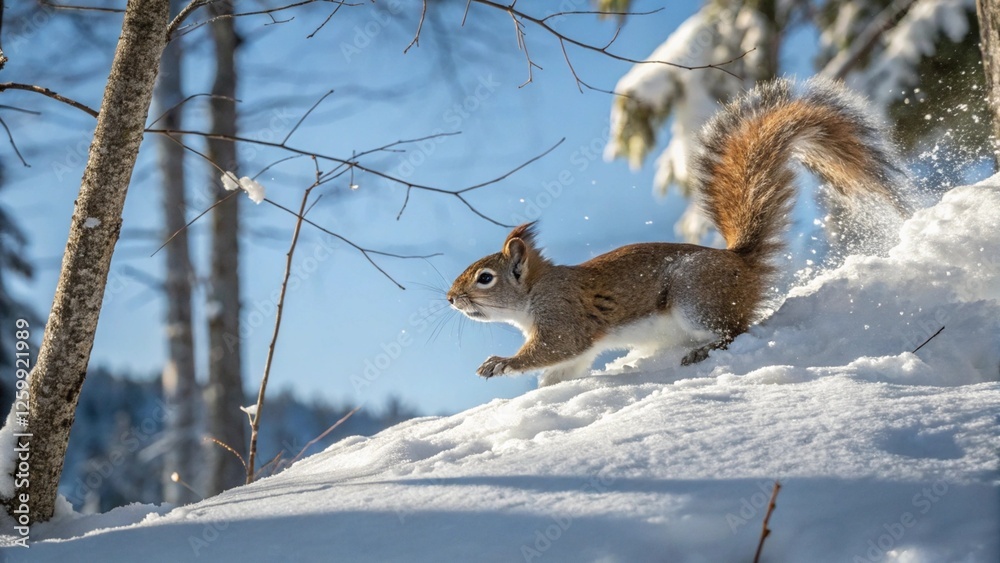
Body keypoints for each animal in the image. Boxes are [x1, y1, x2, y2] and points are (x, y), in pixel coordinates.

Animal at [447, 77, 912, 387]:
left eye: (485, 278)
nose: (450, 298)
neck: (531, 296)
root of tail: (741, 262)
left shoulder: (563, 316)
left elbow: (553, 348)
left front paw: (500, 363)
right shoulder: (578, 348)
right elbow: (566, 366)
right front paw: (546, 392)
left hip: (696, 297)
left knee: (735, 332)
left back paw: (702, 350)